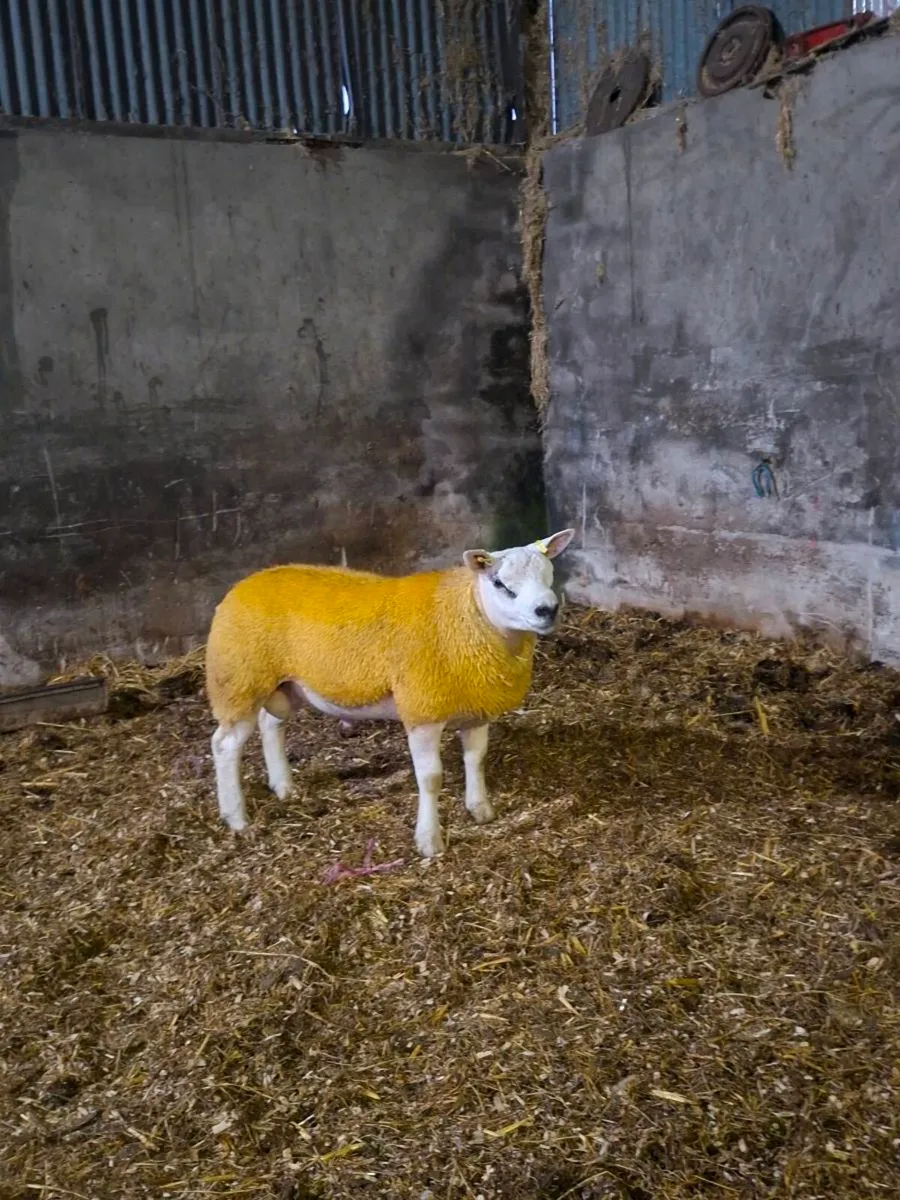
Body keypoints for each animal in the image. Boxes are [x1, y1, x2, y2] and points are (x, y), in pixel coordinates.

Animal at [205, 527, 575, 857]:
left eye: (550, 574)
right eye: (500, 584)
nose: (547, 609)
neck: (468, 615)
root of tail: (246, 582)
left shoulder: (476, 708)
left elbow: (476, 760)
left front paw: (480, 809)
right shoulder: (422, 711)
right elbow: (430, 778)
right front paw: (429, 841)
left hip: (285, 683)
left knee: (271, 724)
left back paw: (283, 787)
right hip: (239, 679)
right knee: (224, 745)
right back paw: (236, 817)